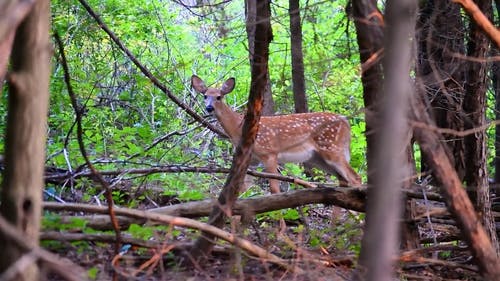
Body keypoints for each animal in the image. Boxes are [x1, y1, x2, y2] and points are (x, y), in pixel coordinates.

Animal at [190, 74, 360, 194]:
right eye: (205, 96)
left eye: (219, 97)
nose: (209, 108)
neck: (239, 129)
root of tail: (346, 122)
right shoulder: (251, 160)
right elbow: (243, 191)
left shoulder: (269, 153)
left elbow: (274, 190)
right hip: (318, 158)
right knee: (343, 182)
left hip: (332, 148)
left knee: (355, 178)